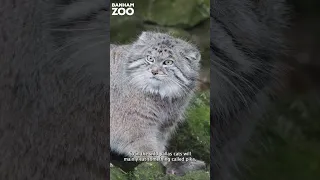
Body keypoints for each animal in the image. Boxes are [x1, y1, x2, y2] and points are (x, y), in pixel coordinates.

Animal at [110, 31, 205, 175]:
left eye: (168, 62)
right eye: (150, 58)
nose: (154, 71)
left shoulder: (163, 128)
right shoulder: (136, 130)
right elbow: (151, 153)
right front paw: (173, 164)